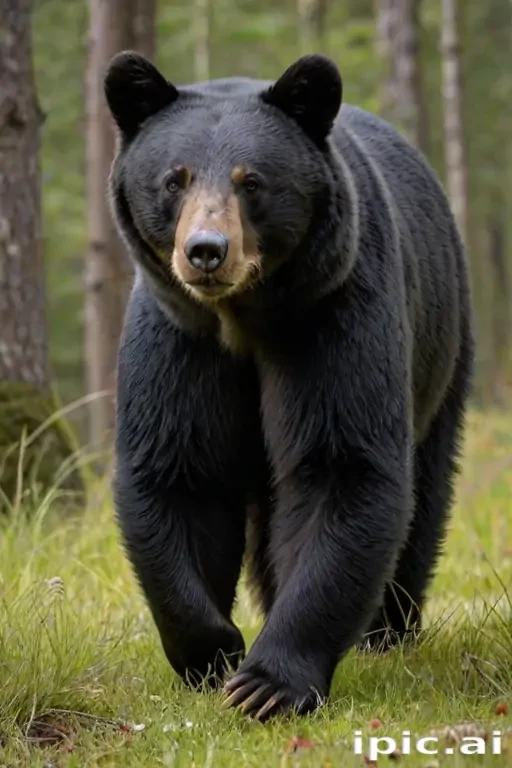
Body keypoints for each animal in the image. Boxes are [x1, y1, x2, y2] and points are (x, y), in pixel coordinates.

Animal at [104, 51, 474, 720]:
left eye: (251, 181)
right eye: (175, 179)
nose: (206, 251)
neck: (243, 320)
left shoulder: (333, 313)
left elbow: (341, 467)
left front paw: (268, 682)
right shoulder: (181, 341)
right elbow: (178, 473)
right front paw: (214, 650)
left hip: (444, 340)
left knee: (425, 490)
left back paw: (388, 630)